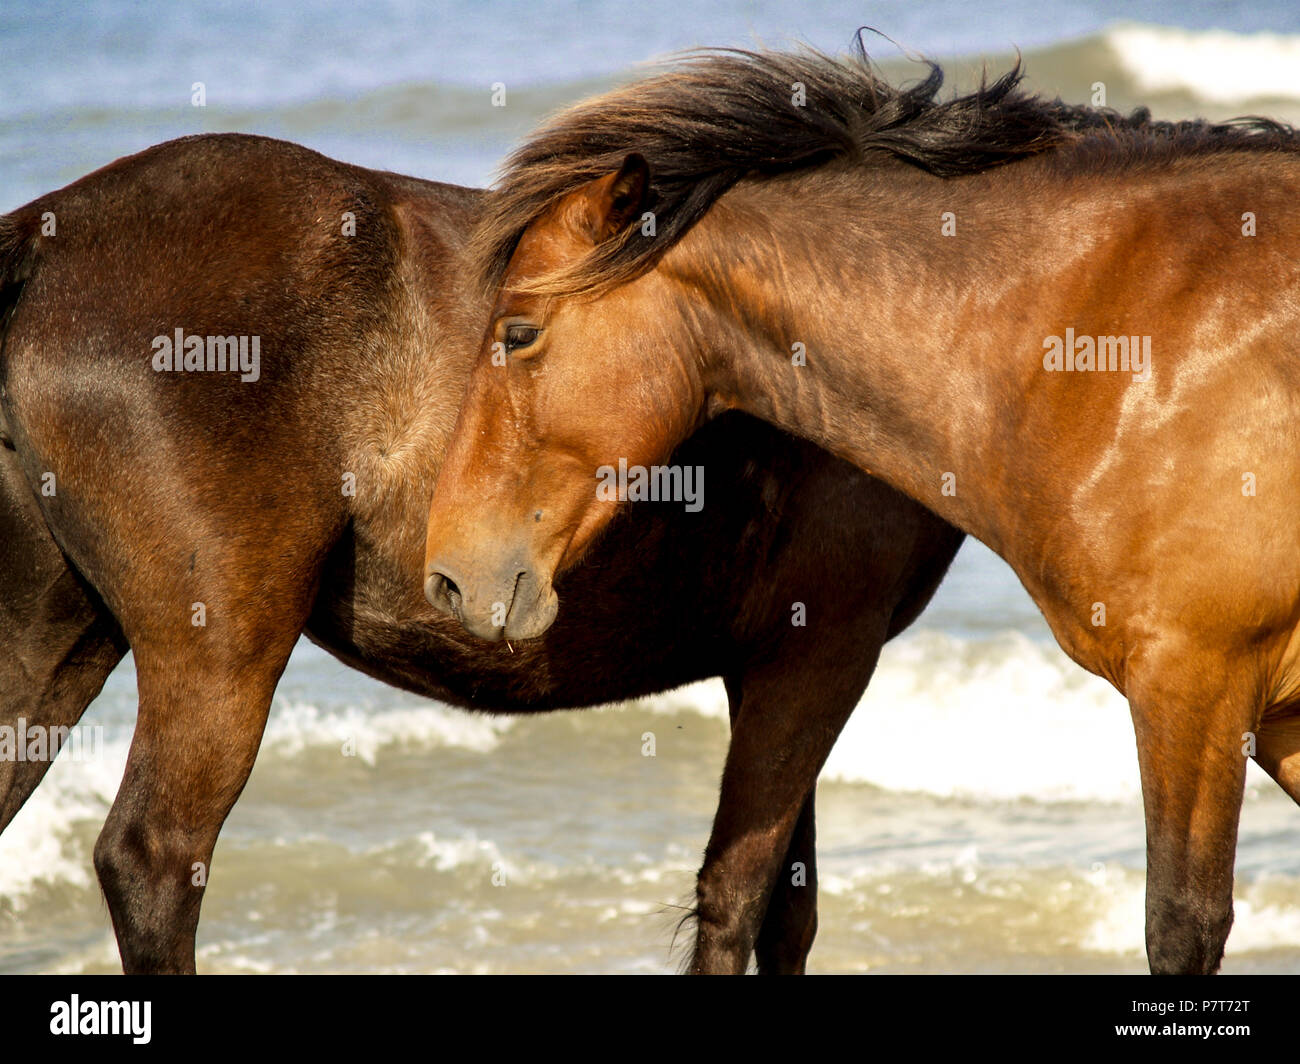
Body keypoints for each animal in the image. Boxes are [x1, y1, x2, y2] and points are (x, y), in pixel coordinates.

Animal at [2, 130, 967, 967]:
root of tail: (42, 242)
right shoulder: (819, 654)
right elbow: (740, 900)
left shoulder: (769, 665)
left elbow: (787, 913)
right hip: (221, 654)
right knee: (154, 861)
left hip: (55, 649)